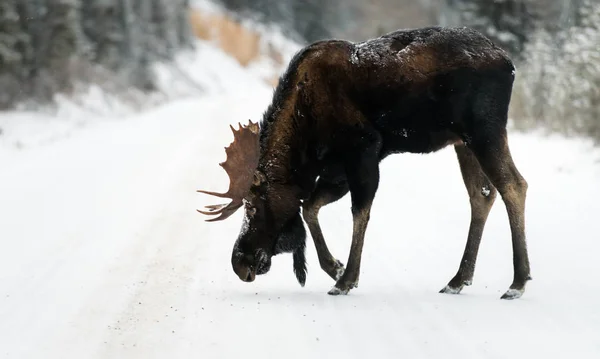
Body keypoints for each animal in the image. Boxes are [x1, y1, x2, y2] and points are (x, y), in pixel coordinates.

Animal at [199, 26, 532, 300]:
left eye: (253, 205)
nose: (239, 262)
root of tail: (510, 64)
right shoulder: (335, 170)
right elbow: (310, 207)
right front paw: (334, 266)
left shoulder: (363, 150)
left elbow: (359, 212)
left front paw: (345, 279)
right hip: (462, 141)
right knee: (481, 195)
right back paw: (458, 279)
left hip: (484, 130)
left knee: (514, 185)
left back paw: (517, 282)